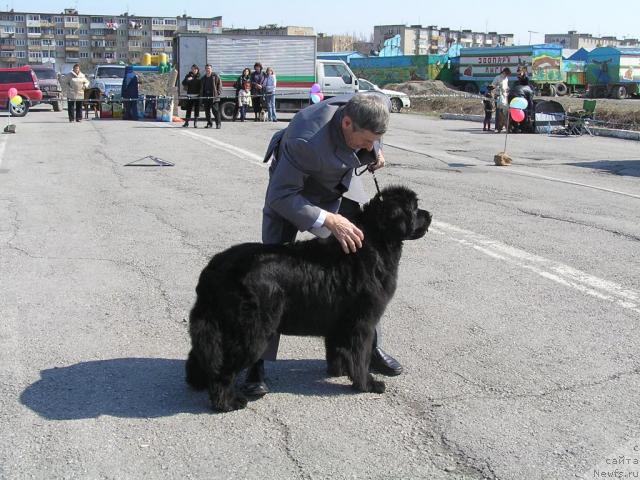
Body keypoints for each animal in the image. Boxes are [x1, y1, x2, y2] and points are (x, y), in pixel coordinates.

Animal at [188, 186, 432, 410]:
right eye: (414, 208)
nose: (430, 215)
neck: (377, 241)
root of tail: (214, 268)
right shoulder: (362, 321)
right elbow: (361, 355)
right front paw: (366, 384)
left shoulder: (340, 322)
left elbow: (338, 349)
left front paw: (339, 370)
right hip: (251, 328)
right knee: (224, 367)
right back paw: (227, 402)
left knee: (204, 352)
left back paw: (198, 382)